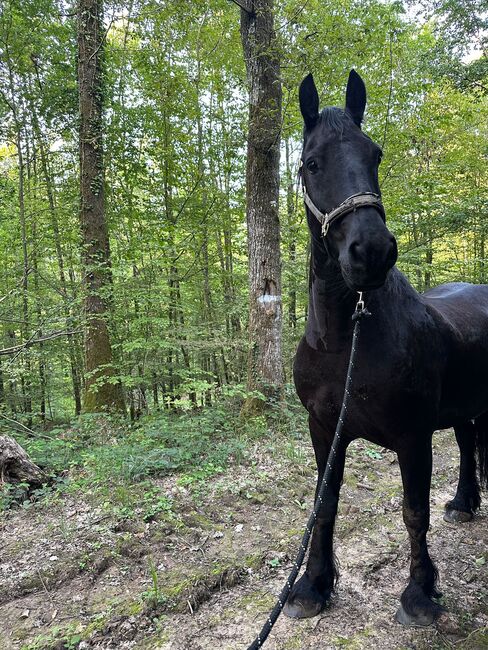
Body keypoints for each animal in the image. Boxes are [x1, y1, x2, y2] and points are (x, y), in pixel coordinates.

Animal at [284, 69, 488, 624]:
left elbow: (413, 511)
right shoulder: (324, 429)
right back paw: (464, 503)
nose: (371, 251)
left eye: (374, 154)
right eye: (311, 163)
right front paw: (312, 586)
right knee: (468, 443)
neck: (344, 343)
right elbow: (324, 504)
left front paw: (420, 594)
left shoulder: (412, 436)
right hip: (463, 409)